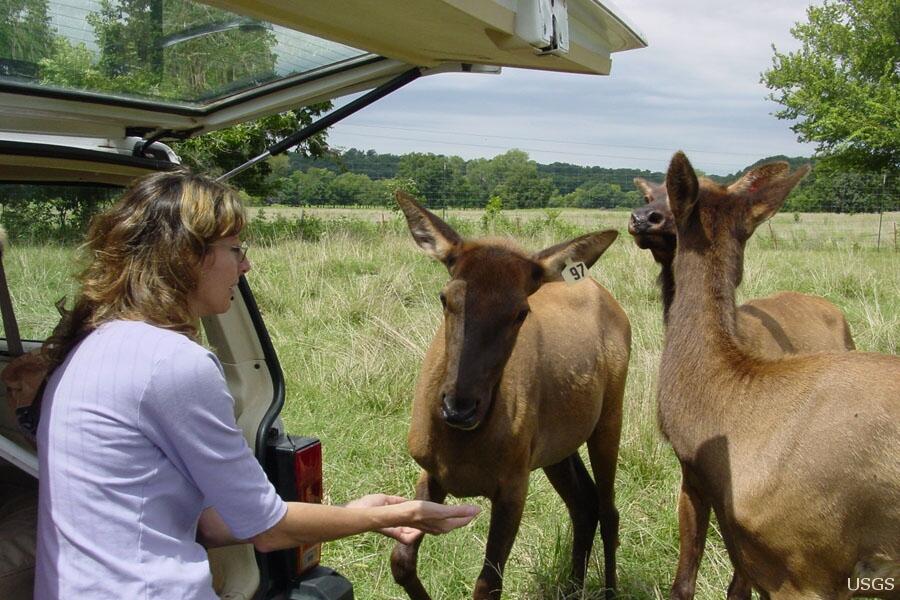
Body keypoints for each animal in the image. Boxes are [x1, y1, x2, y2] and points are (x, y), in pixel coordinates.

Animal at [389, 191, 631, 600]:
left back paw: (609, 589)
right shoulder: (430, 469)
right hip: (556, 446)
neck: (462, 449)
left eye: (520, 312)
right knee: (584, 502)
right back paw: (572, 585)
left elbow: (488, 584)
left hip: (610, 414)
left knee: (609, 508)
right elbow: (401, 561)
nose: (459, 408)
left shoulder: (513, 484)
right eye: (445, 297)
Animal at [629, 176, 856, 599]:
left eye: (673, 194)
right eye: (649, 194)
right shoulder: (689, 473)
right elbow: (684, 578)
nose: (643, 218)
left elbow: (740, 584)